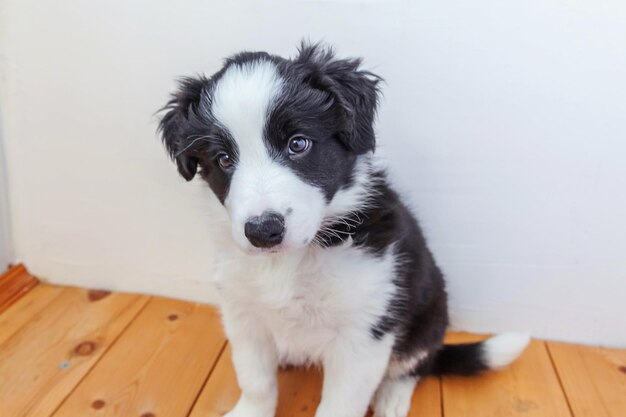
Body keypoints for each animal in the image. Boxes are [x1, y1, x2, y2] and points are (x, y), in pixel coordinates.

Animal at [157, 42, 528, 416]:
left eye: (298, 144)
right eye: (223, 159)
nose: (263, 232)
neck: (288, 263)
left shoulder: (363, 335)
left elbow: (340, 404)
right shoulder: (242, 314)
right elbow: (255, 381)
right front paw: (249, 411)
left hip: (428, 317)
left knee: (416, 364)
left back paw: (392, 397)